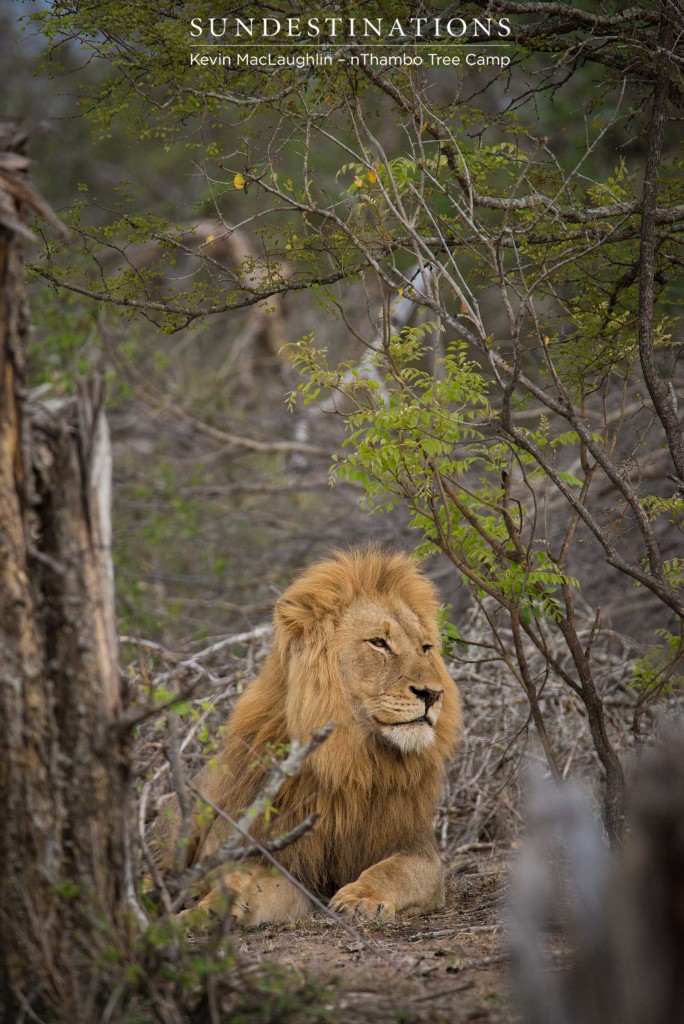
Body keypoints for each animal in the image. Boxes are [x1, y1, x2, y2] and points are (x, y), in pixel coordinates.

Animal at [151, 552, 462, 929]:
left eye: (425, 647)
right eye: (379, 643)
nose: (433, 694)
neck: (353, 759)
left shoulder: (417, 849)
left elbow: (395, 872)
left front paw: (361, 898)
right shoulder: (285, 857)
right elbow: (246, 881)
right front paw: (207, 909)